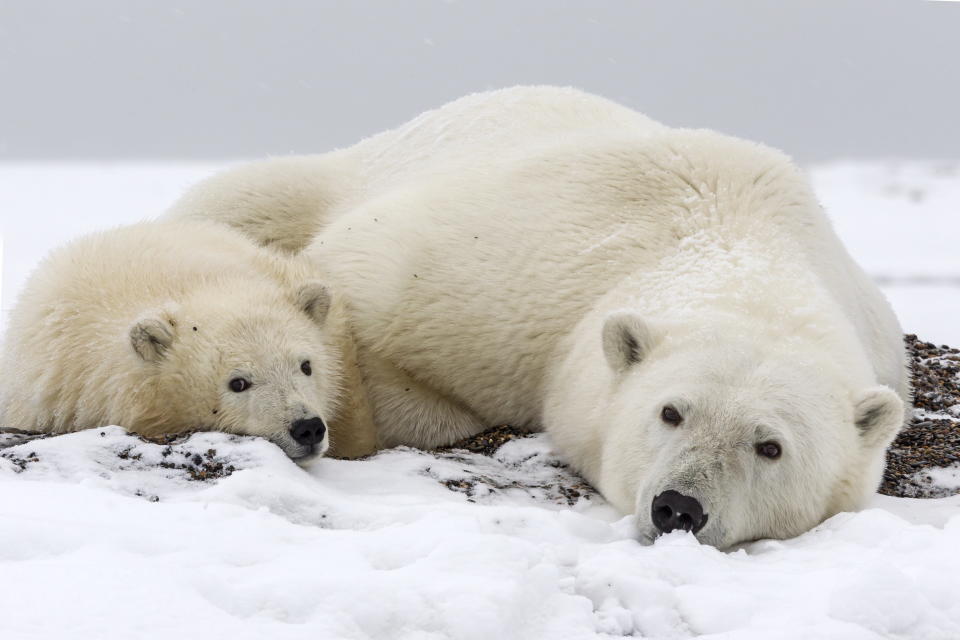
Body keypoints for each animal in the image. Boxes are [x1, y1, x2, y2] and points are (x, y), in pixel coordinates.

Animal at [169, 87, 912, 548]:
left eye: (770, 446)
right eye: (671, 412)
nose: (679, 507)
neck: (736, 237)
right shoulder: (507, 271)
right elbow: (355, 277)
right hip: (336, 172)